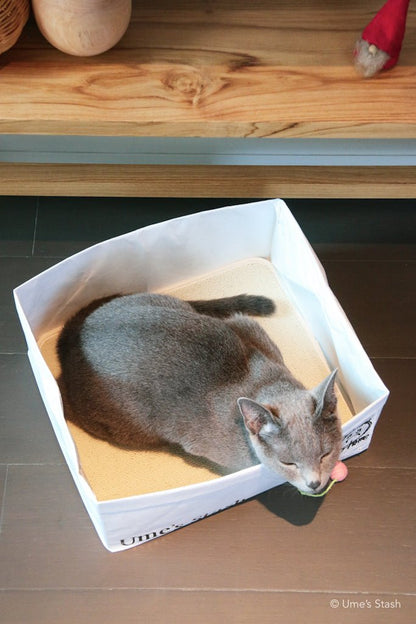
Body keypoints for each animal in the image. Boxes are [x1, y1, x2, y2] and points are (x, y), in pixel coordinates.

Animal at [57, 294, 342, 494]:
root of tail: (74, 340)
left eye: (325, 455)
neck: (264, 384)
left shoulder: (248, 327)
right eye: (289, 463)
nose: (315, 483)